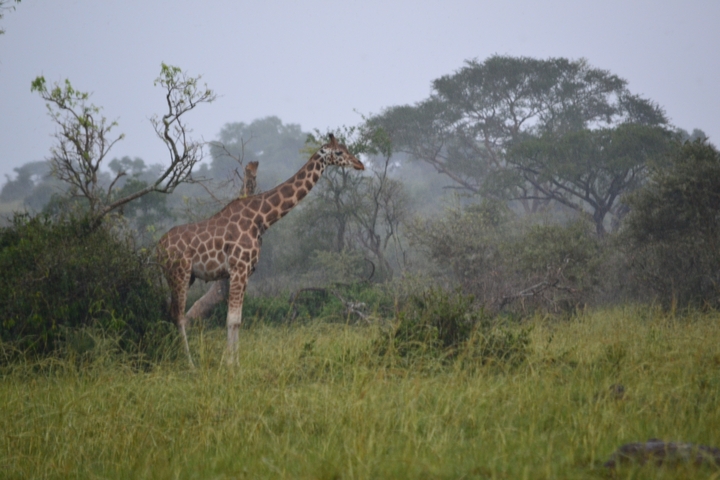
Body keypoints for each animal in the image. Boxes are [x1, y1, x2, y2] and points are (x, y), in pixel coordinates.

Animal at [158, 134, 364, 364]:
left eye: (346, 148)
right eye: (338, 152)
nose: (360, 164)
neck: (261, 219)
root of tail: (158, 246)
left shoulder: (246, 271)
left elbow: (238, 319)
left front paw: (234, 363)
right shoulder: (238, 268)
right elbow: (232, 320)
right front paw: (230, 365)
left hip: (184, 276)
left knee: (172, 312)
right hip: (179, 273)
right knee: (178, 316)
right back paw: (190, 363)